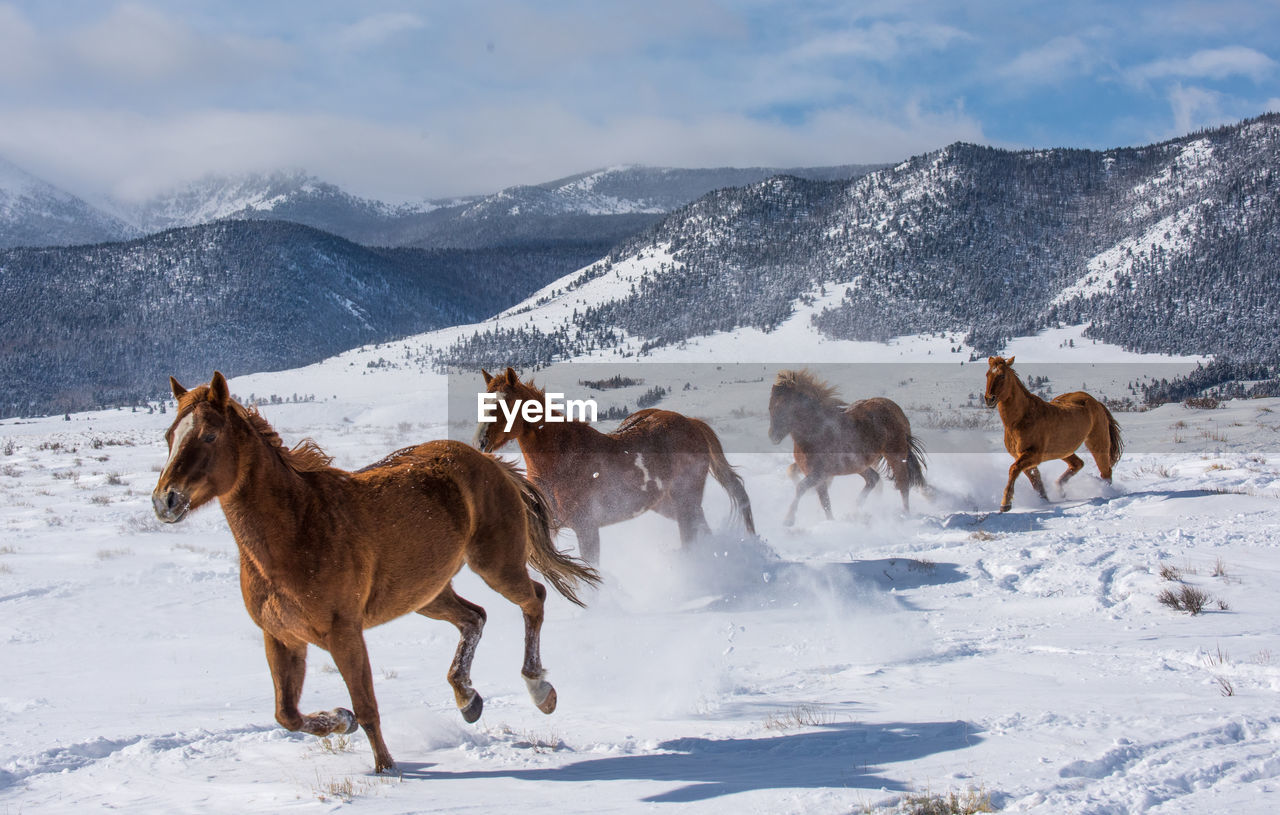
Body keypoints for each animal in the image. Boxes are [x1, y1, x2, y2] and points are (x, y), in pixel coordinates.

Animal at [149, 371, 599, 772]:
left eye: (209, 436)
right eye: (170, 436)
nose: (165, 501)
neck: (298, 529)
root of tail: (489, 462)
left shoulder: (344, 634)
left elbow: (367, 706)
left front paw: (387, 770)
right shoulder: (281, 638)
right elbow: (287, 714)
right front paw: (339, 720)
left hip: (495, 565)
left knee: (533, 600)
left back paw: (540, 691)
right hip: (425, 592)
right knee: (475, 618)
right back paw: (468, 700)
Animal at [476, 365, 752, 562]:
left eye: (506, 402)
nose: (481, 442)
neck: (561, 459)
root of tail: (691, 422)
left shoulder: (586, 527)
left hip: (686, 500)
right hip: (665, 504)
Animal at [762, 365, 926, 524]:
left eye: (786, 407)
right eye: (770, 407)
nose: (773, 436)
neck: (817, 432)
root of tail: (895, 408)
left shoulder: (820, 474)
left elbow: (801, 488)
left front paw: (788, 520)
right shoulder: (816, 475)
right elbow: (824, 501)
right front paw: (830, 522)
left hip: (895, 456)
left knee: (903, 485)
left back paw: (904, 516)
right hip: (859, 465)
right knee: (873, 479)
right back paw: (855, 510)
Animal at [977, 355, 1121, 511]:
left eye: (1002, 375)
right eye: (987, 374)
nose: (989, 399)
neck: (1021, 419)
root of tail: (1096, 402)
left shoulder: (1032, 455)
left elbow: (1013, 470)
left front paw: (1005, 504)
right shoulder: (1022, 457)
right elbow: (1035, 480)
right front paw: (1044, 501)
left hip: (1097, 443)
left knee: (1106, 472)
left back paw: (1105, 492)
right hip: (1064, 450)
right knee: (1078, 464)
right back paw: (1059, 488)